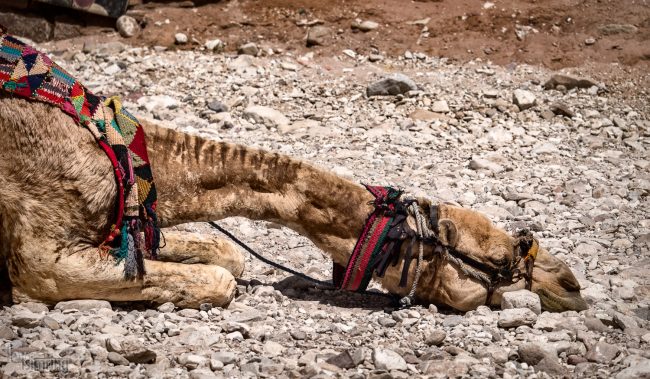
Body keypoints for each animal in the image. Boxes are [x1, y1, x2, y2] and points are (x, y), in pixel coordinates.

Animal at [0, 35, 588, 314]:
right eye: (500, 260)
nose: (572, 285)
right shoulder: (43, 259)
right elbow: (218, 280)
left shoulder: (123, 234)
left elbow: (229, 254)